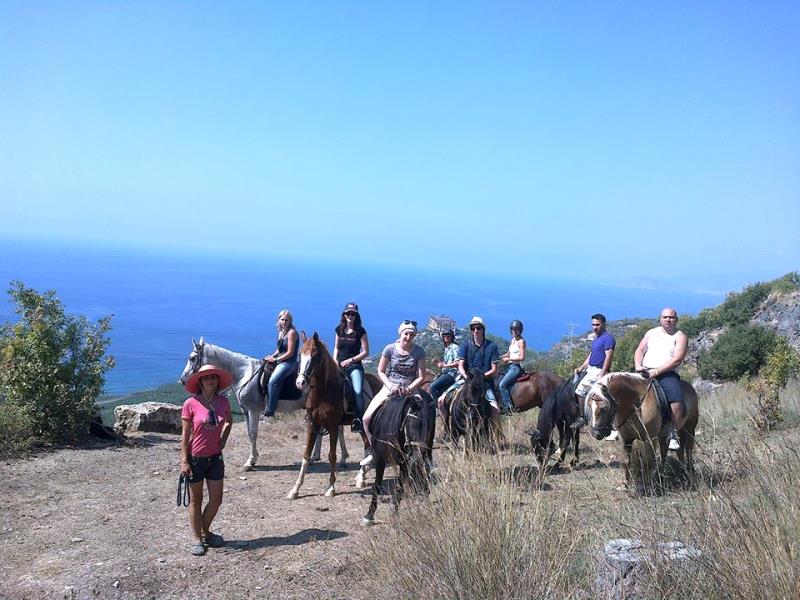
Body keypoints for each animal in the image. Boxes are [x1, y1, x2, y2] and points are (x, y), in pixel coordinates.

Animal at [179, 337, 309, 470]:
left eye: (192, 358)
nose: (183, 380)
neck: (245, 374)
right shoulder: (245, 410)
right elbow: (249, 433)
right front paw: (254, 456)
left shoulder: (253, 411)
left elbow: (253, 434)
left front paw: (250, 461)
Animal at [287, 333, 375, 499]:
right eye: (300, 355)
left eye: (314, 355)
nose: (300, 382)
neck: (324, 393)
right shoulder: (313, 426)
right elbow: (306, 456)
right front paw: (295, 489)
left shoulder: (333, 427)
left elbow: (332, 455)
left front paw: (331, 487)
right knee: (368, 447)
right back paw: (362, 476)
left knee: (369, 447)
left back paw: (362, 475)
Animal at [362, 392, 436, 526]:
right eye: (413, 424)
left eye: (429, 428)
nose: (418, 457)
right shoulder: (380, 460)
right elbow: (377, 486)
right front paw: (369, 515)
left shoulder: (406, 464)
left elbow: (399, 488)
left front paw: (395, 514)